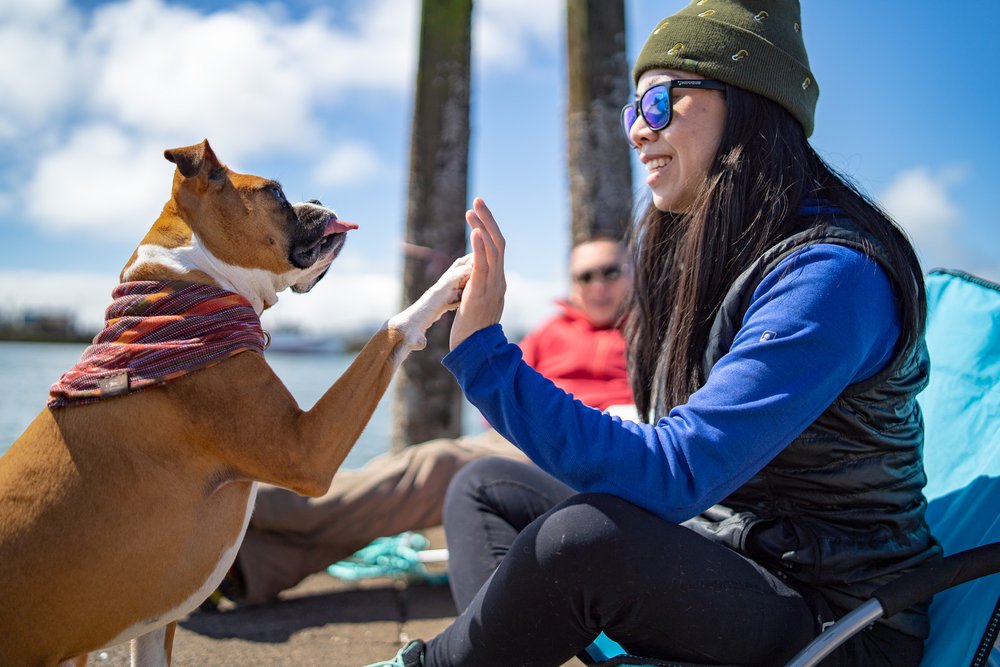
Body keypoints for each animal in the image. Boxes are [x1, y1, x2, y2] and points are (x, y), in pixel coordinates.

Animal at [0, 138, 470, 664]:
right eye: (276, 191)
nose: (318, 197)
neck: (186, 287)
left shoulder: (156, 623)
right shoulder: (304, 451)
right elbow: (391, 328)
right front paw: (451, 279)